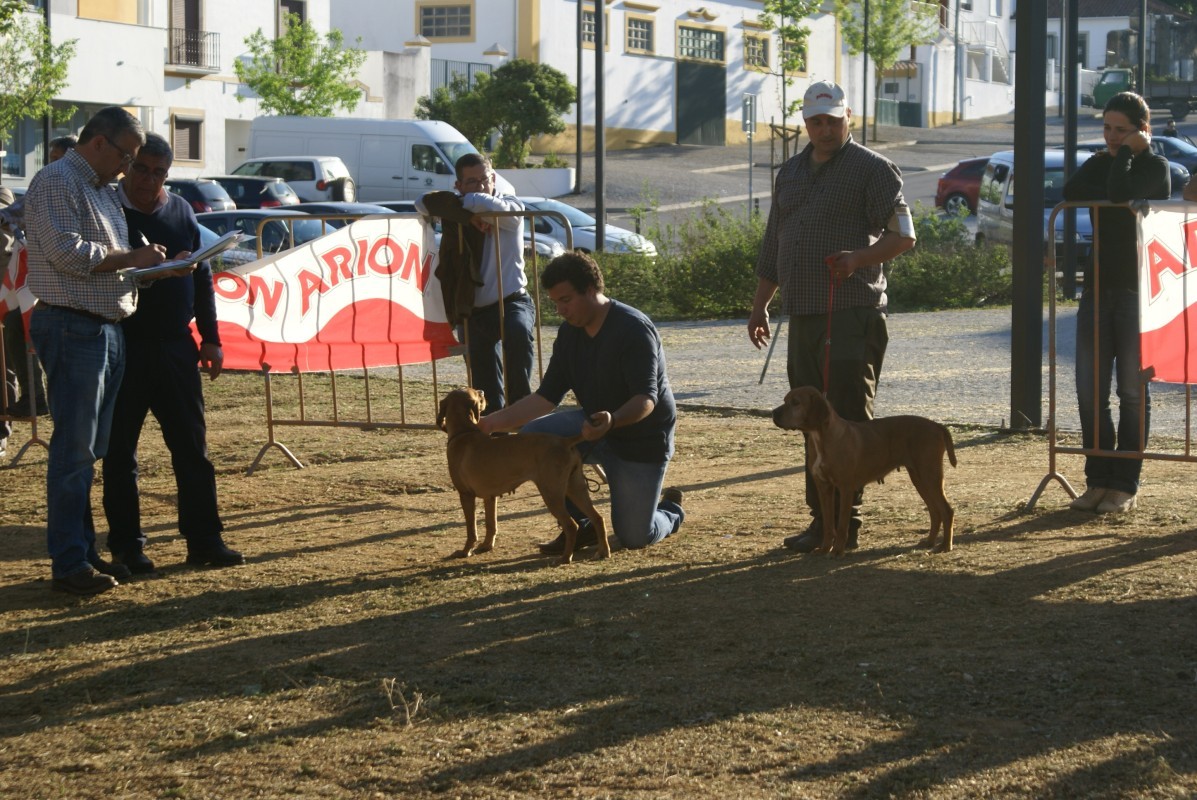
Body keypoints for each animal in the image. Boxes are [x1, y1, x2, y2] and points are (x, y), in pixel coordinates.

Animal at [436, 387, 610, 564]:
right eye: (477, 395)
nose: (482, 391)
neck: (464, 432)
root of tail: (564, 441)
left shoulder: (466, 495)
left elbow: (471, 530)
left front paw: (465, 551)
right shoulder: (490, 497)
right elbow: (491, 524)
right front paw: (486, 546)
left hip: (551, 493)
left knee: (571, 525)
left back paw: (565, 557)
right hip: (575, 488)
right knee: (597, 518)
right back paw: (603, 552)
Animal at [772, 386, 957, 555]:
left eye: (796, 402)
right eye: (784, 400)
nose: (773, 413)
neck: (821, 438)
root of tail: (938, 425)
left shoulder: (845, 487)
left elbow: (842, 525)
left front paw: (837, 551)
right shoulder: (824, 487)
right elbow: (828, 524)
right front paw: (824, 549)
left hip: (930, 475)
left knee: (946, 510)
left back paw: (945, 546)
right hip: (919, 477)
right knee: (935, 511)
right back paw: (929, 541)